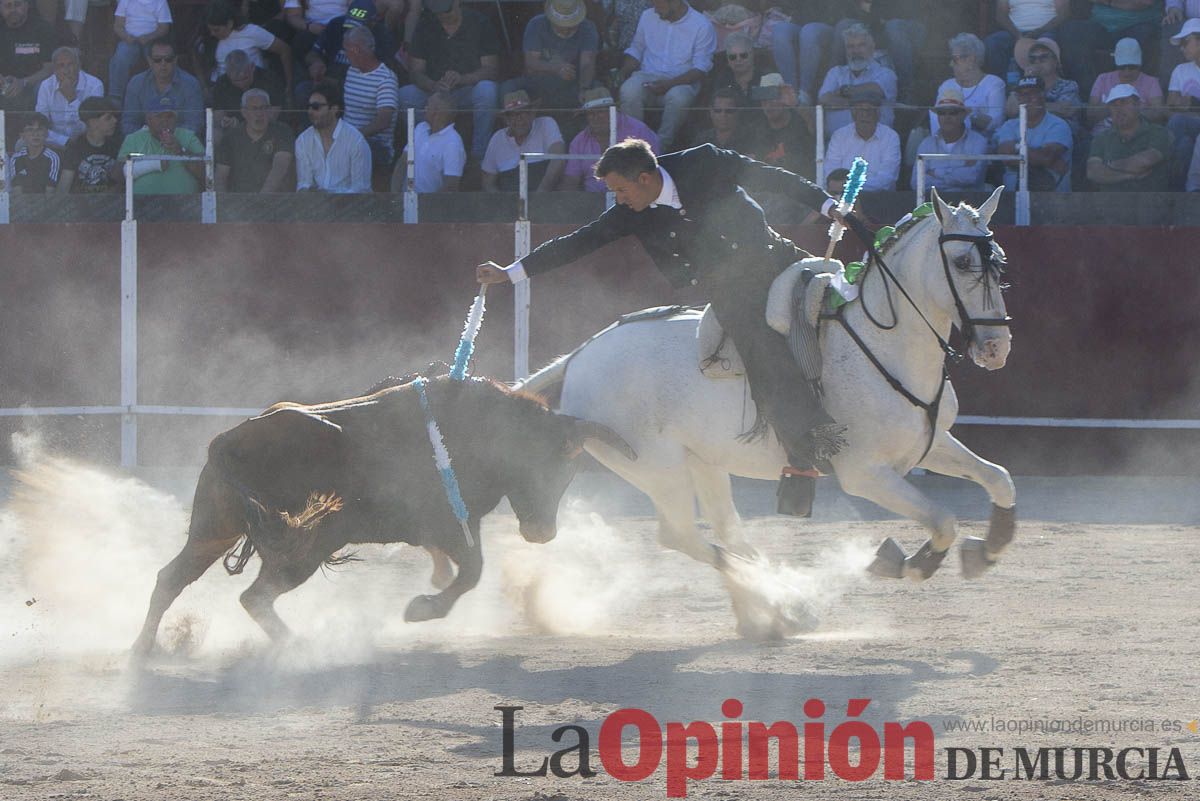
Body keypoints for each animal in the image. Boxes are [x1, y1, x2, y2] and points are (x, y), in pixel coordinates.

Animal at [131, 376, 633, 657]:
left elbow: (459, 568)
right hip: (306, 545)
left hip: (213, 531)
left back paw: (142, 648)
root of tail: (226, 441)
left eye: (571, 469)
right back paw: (300, 647)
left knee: (171, 578)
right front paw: (421, 609)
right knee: (254, 597)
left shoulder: (443, 528)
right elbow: (472, 572)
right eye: (548, 464)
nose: (542, 532)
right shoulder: (454, 524)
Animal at [520, 185, 1017, 587]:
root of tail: (580, 356)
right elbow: (944, 520)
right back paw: (777, 598)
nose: (996, 348)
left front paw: (988, 548)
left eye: (999, 262)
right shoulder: (864, 473)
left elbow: (999, 477)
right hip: (656, 467)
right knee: (680, 533)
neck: (881, 343)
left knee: (726, 528)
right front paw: (904, 563)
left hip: (702, 460)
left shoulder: (928, 443)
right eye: (962, 262)